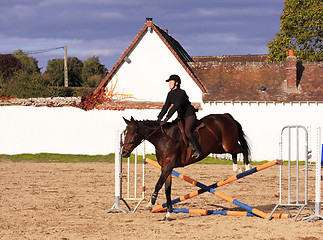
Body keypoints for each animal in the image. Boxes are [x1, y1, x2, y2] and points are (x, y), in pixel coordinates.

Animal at [121, 113, 251, 220]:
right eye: (124, 133)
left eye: (132, 133)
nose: (124, 153)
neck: (163, 139)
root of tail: (227, 116)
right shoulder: (166, 168)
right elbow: (167, 189)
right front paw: (168, 214)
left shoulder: (168, 165)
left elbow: (158, 185)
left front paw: (149, 205)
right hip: (219, 148)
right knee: (235, 152)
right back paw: (236, 167)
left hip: (227, 145)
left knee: (243, 149)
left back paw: (247, 167)